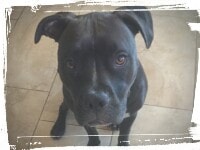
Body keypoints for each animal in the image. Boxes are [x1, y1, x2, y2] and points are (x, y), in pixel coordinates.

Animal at [34, 6, 153, 146]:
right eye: (70, 63)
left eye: (120, 59)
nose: (95, 100)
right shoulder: (83, 115)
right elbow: (91, 131)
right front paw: (94, 143)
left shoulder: (132, 114)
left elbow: (124, 134)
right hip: (67, 98)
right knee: (63, 107)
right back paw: (58, 128)